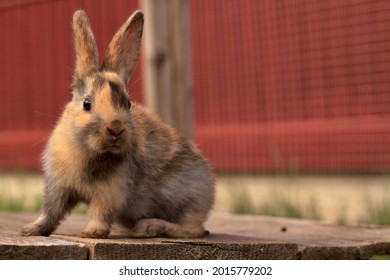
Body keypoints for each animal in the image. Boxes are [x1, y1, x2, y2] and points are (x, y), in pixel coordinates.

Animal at [19, 10, 215, 238]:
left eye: (127, 103)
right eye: (86, 104)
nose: (116, 129)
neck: (91, 152)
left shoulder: (110, 193)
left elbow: (100, 212)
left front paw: (92, 233)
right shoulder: (58, 188)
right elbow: (50, 212)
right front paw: (31, 230)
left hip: (185, 200)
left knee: (194, 229)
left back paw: (148, 227)